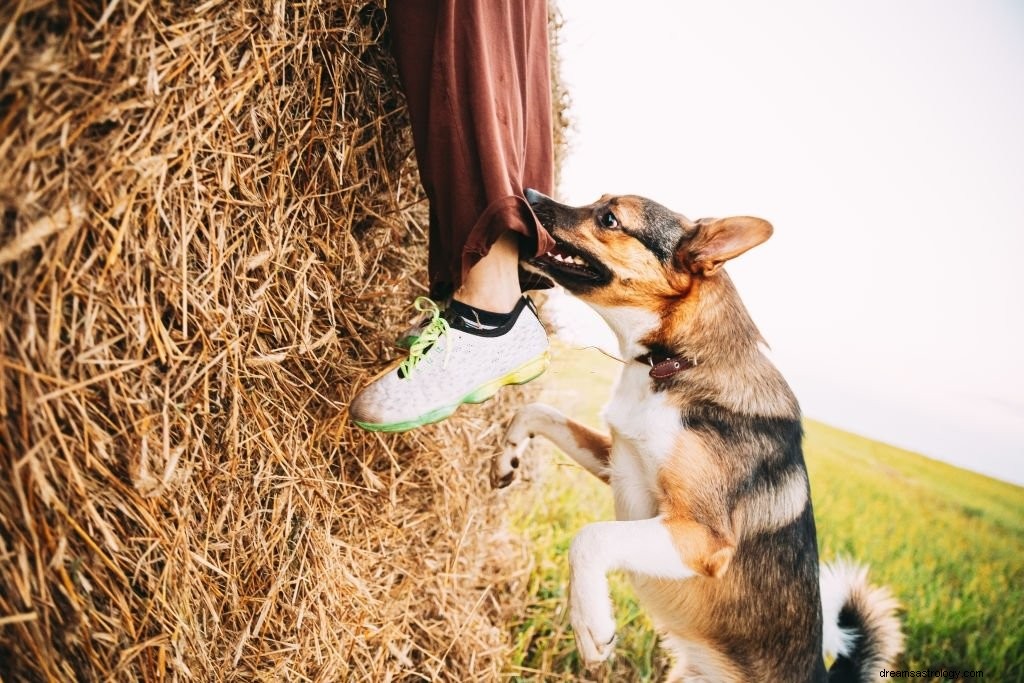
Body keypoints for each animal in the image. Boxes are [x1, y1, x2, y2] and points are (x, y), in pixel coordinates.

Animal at [495, 191, 905, 683]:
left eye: (609, 218)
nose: (530, 196)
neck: (676, 362)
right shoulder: (618, 460)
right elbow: (538, 411)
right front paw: (507, 457)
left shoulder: (700, 537)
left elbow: (591, 537)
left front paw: (591, 624)